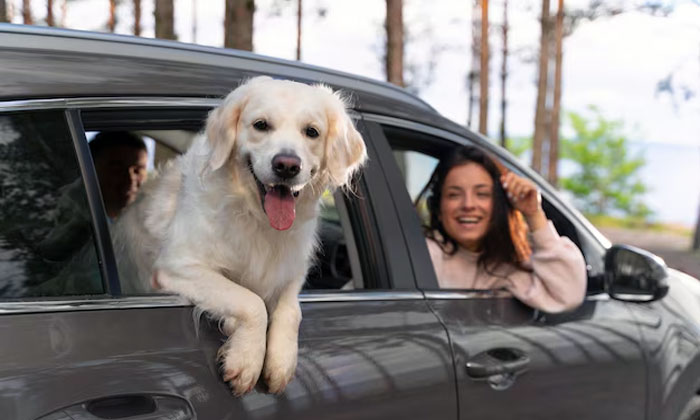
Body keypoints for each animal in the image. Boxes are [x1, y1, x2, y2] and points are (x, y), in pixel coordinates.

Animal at [110, 77, 366, 396]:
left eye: (312, 132)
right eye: (261, 125)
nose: (286, 165)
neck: (257, 219)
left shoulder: (292, 272)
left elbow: (291, 310)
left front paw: (281, 362)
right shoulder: (176, 266)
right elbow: (250, 301)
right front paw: (246, 360)